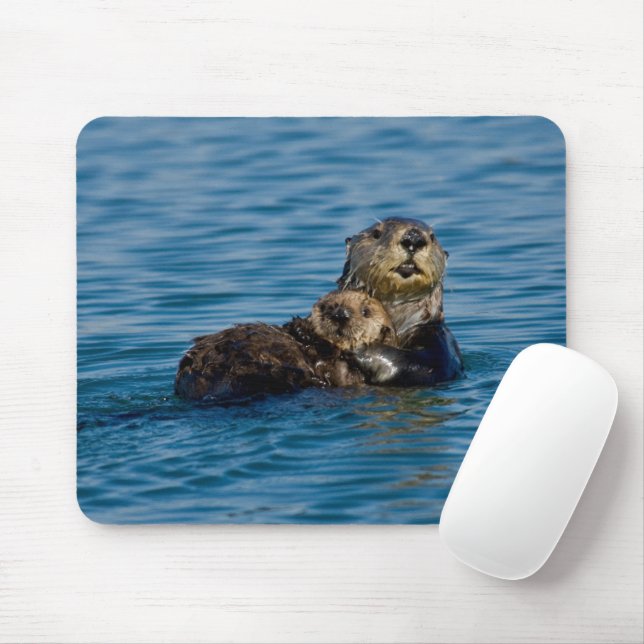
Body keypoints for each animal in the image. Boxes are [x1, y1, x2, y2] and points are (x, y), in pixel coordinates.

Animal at [174, 290, 396, 402]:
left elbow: (337, 371)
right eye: (326, 306)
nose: (340, 314)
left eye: (366, 312)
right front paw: (298, 326)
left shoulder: (347, 373)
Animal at [338, 217, 464, 386]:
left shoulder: (440, 342)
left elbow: (422, 365)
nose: (414, 238)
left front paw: (359, 347)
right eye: (376, 233)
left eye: (432, 237)